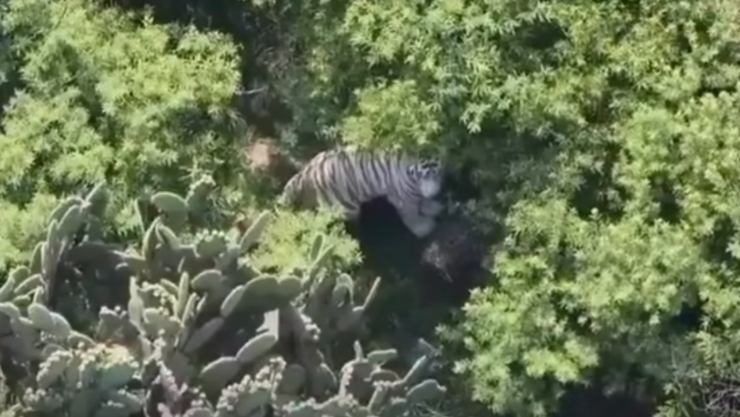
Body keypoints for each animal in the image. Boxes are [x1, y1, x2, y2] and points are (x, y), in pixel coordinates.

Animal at [278, 147, 445, 238]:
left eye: (437, 173)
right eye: (424, 175)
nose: (434, 193)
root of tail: (305, 173)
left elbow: (422, 201)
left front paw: (431, 206)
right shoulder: (404, 196)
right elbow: (411, 214)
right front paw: (423, 227)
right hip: (348, 208)